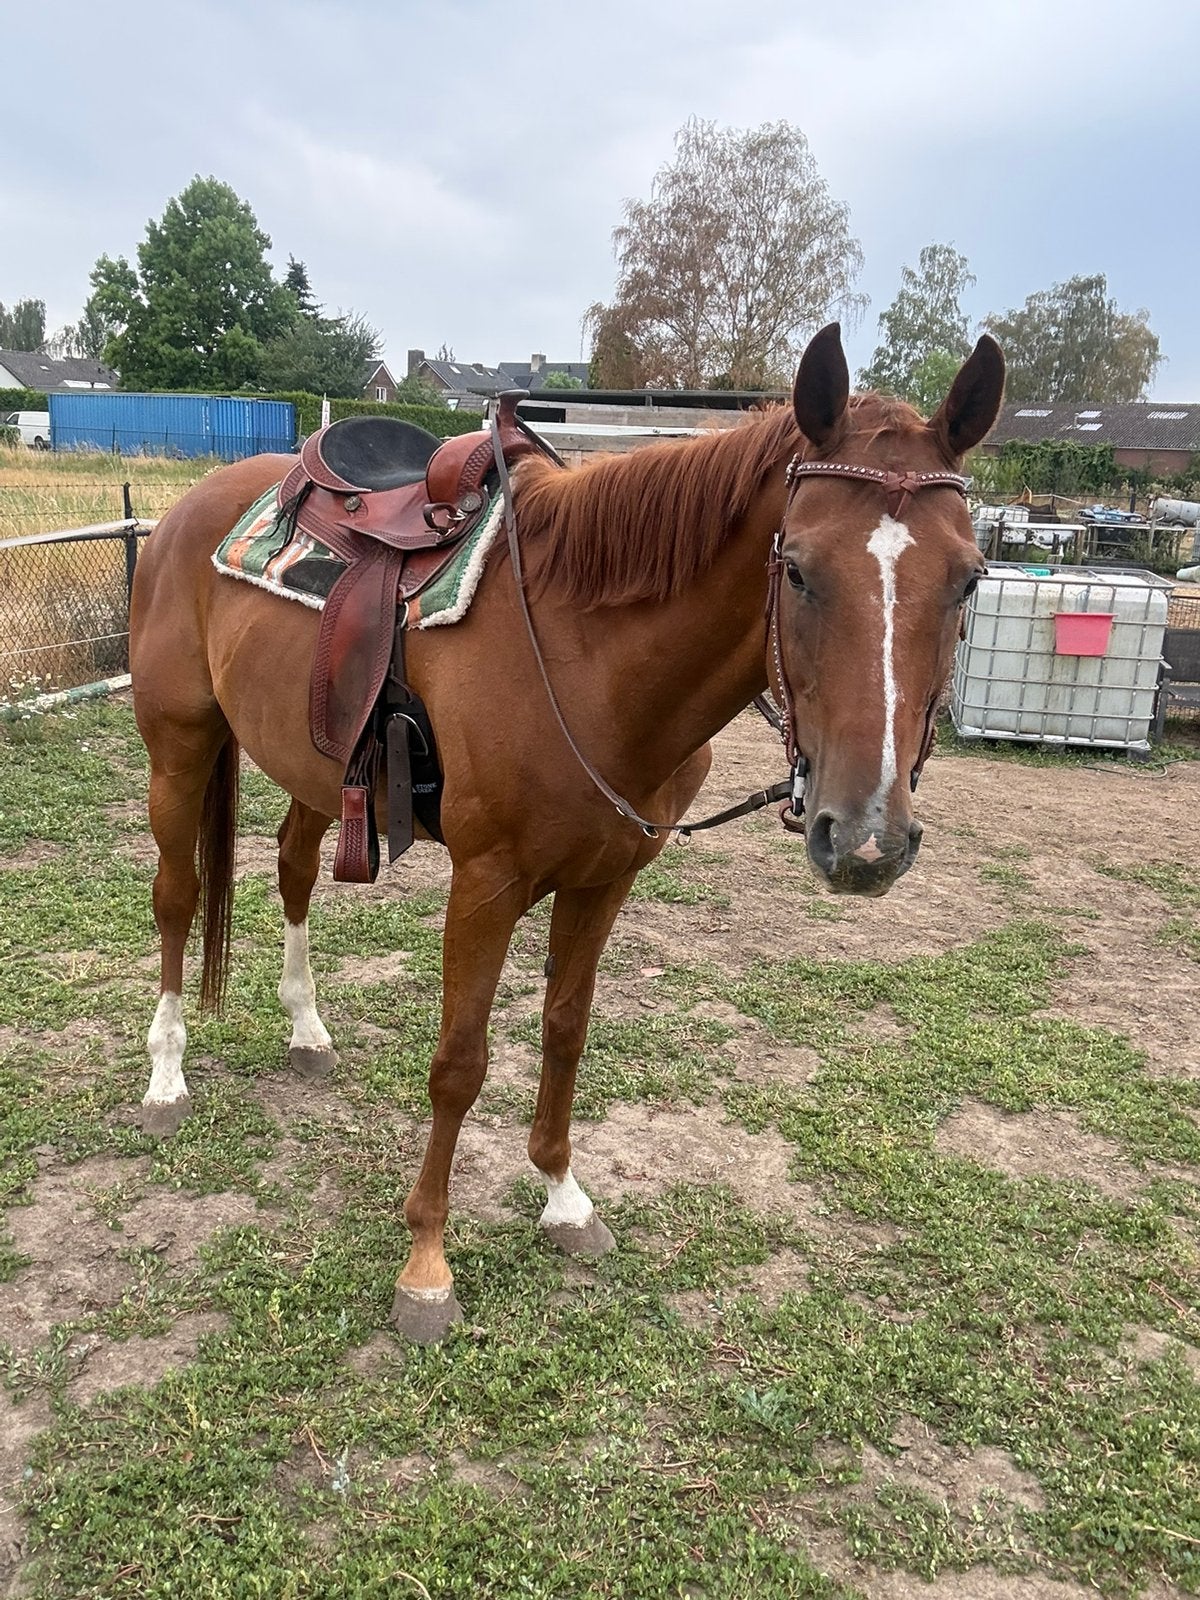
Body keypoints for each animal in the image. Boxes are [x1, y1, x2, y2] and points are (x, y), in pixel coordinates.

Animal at [128, 323, 1003, 1342]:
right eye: (797, 568)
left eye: (968, 579)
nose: (864, 838)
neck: (590, 659)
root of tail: (192, 507)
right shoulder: (487, 884)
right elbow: (460, 1064)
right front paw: (427, 1266)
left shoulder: (606, 878)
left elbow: (565, 1029)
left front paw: (563, 1197)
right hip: (179, 748)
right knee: (178, 897)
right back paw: (165, 1078)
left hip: (316, 760)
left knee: (294, 871)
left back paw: (306, 1029)